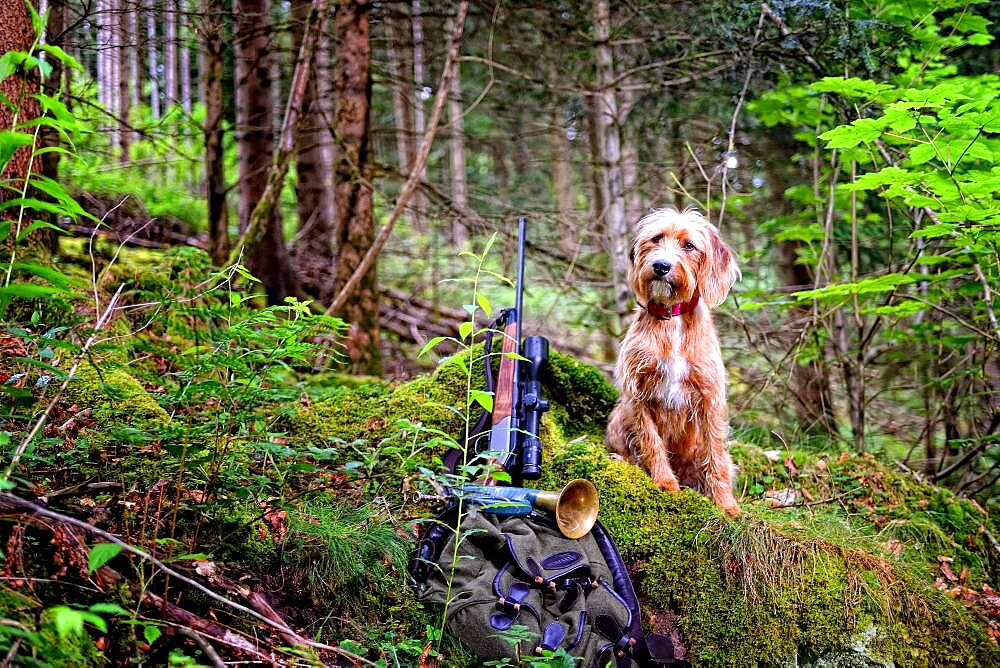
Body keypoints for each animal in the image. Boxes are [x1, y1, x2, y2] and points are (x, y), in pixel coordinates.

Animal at [600, 209, 744, 516]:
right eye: (656, 238)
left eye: (689, 245)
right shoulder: (638, 393)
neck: (672, 317)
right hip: (618, 419)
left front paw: (726, 504)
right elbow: (651, 441)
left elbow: (716, 455)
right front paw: (665, 483)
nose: (661, 266)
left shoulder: (709, 397)